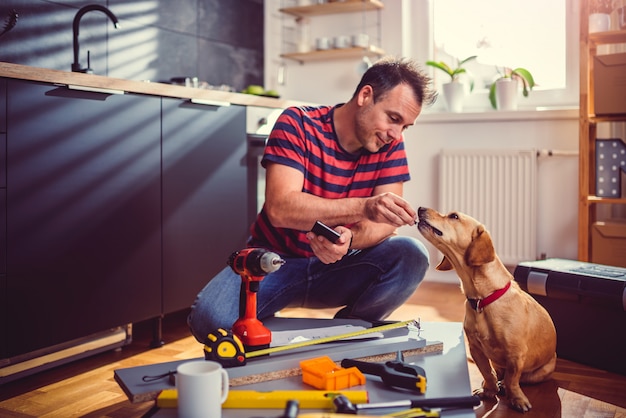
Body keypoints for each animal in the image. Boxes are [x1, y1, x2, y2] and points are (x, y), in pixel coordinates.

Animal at [416, 206, 552, 412]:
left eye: (454, 216)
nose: (420, 208)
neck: (483, 300)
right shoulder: (476, 349)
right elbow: (487, 373)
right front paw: (488, 391)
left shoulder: (516, 355)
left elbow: (513, 380)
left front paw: (517, 399)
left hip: (540, 372)